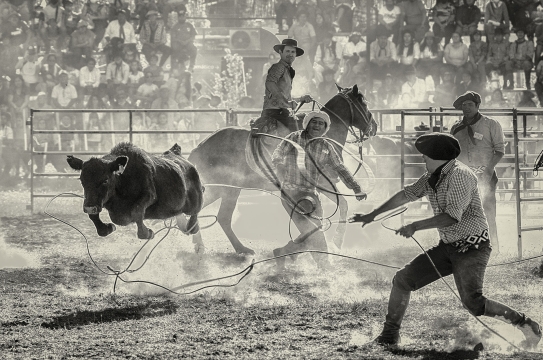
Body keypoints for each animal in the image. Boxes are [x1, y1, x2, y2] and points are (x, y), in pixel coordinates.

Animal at [67, 143, 204, 239]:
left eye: (105, 180)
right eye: (82, 180)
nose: (89, 207)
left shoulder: (149, 195)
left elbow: (137, 210)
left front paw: (147, 233)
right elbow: (94, 216)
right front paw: (108, 228)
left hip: (195, 201)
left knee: (195, 213)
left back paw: (191, 227)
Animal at [185, 84, 376, 253]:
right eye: (364, 102)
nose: (374, 126)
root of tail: (200, 147)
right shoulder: (323, 182)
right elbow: (342, 205)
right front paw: (336, 242)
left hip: (219, 188)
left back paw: (200, 244)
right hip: (229, 189)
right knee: (223, 217)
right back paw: (240, 249)